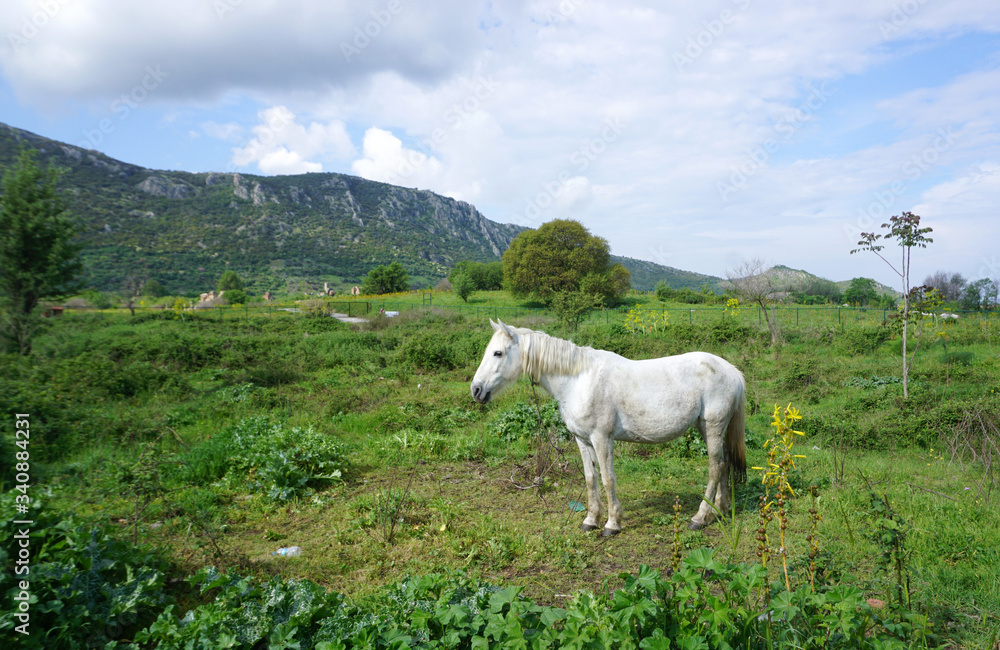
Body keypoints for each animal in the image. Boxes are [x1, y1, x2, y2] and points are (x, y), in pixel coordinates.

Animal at [472, 316, 748, 536]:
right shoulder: (583, 440)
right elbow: (590, 479)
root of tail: (732, 371)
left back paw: (700, 518)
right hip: (707, 428)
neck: (578, 380)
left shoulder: (601, 438)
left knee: (714, 467)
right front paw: (590, 520)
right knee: (723, 464)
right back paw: (719, 512)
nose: (476, 390)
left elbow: (607, 479)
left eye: (498, 353)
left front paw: (612, 524)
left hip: (712, 426)